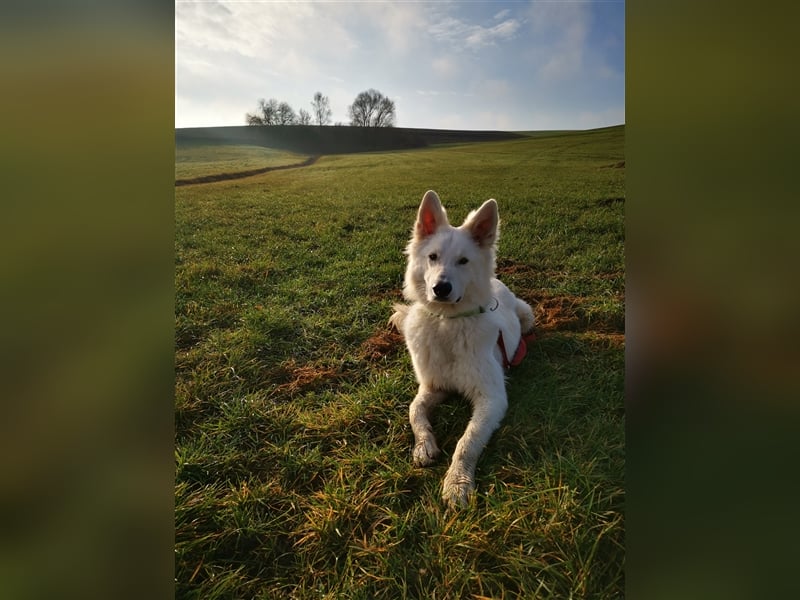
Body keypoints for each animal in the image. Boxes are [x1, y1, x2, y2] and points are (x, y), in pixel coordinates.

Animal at [390, 189, 536, 506]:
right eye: (432, 257)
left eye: (463, 261)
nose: (440, 288)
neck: (447, 324)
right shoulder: (433, 387)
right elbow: (414, 411)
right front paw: (423, 446)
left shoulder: (491, 399)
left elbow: (466, 441)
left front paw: (457, 482)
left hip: (528, 316)